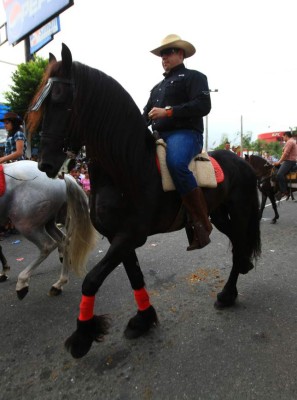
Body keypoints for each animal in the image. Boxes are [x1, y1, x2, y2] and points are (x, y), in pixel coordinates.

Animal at [26, 44, 260, 360]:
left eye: (61, 100)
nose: (45, 164)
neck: (126, 168)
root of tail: (243, 161)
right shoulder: (120, 238)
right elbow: (135, 277)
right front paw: (143, 319)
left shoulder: (129, 236)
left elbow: (92, 280)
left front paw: (83, 336)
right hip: (219, 214)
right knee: (237, 242)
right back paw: (234, 283)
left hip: (241, 210)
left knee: (239, 244)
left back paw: (227, 293)